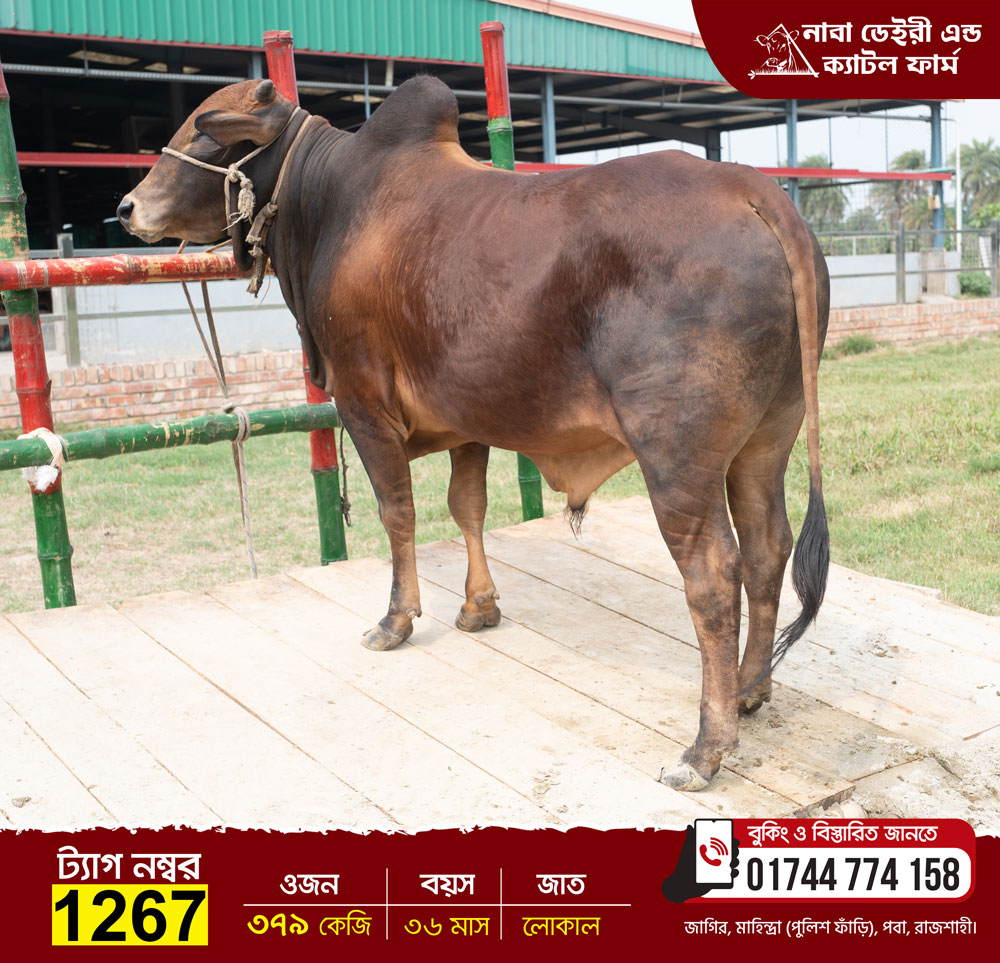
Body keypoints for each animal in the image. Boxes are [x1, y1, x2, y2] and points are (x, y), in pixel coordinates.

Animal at [117, 76, 830, 792]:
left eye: (205, 134)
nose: (126, 207)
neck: (329, 204)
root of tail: (752, 188)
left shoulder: (363, 403)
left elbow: (398, 513)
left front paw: (396, 619)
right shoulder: (465, 415)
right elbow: (468, 506)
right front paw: (479, 608)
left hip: (676, 457)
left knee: (713, 576)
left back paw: (705, 746)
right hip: (766, 441)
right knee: (767, 548)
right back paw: (751, 689)